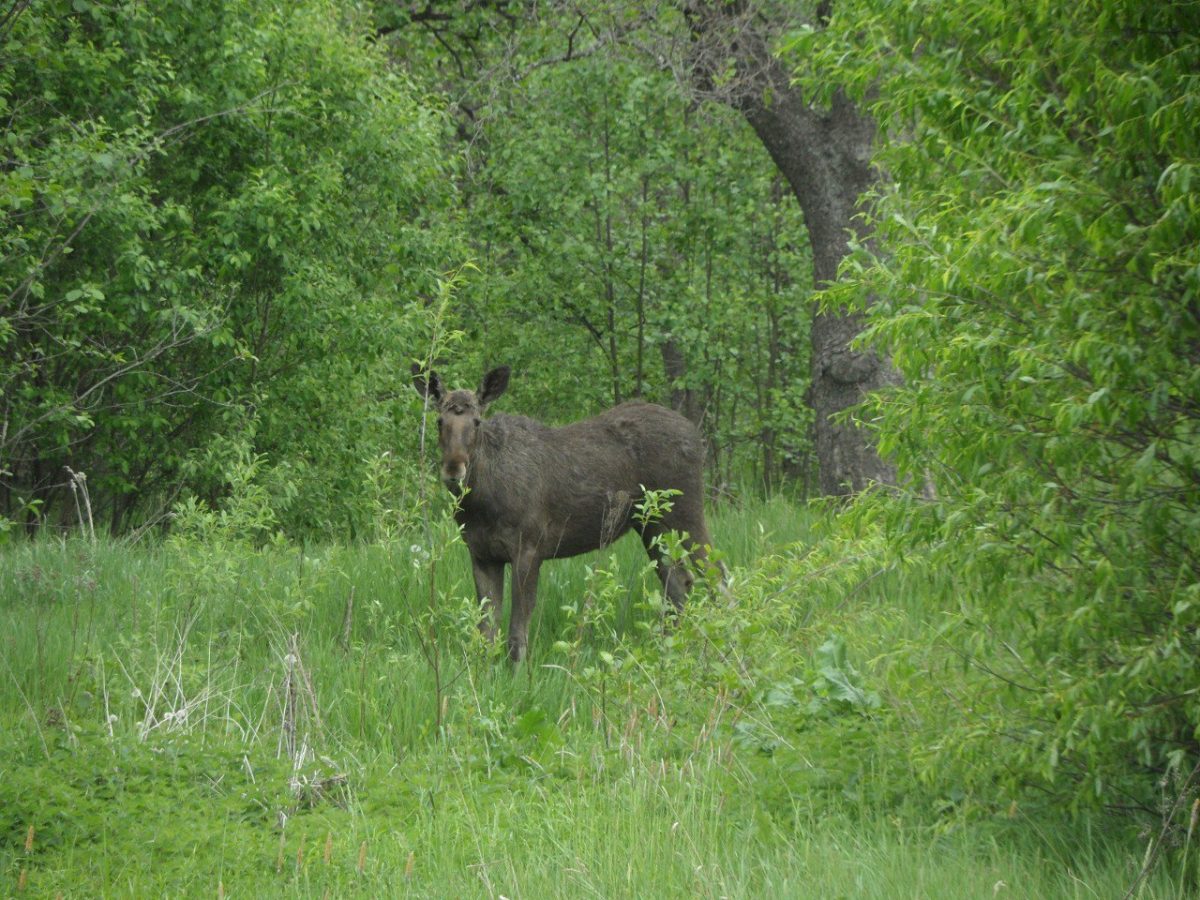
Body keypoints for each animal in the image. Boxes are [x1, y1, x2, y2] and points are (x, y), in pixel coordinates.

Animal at [412, 364, 710, 662]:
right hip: (651, 526)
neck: (480, 503)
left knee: (713, 575)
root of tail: (695, 434)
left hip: (686, 513)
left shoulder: (529, 550)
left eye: (476, 422)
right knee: (679, 583)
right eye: (439, 421)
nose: (453, 469)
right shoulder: (482, 555)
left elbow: (516, 635)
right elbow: (486, 634)